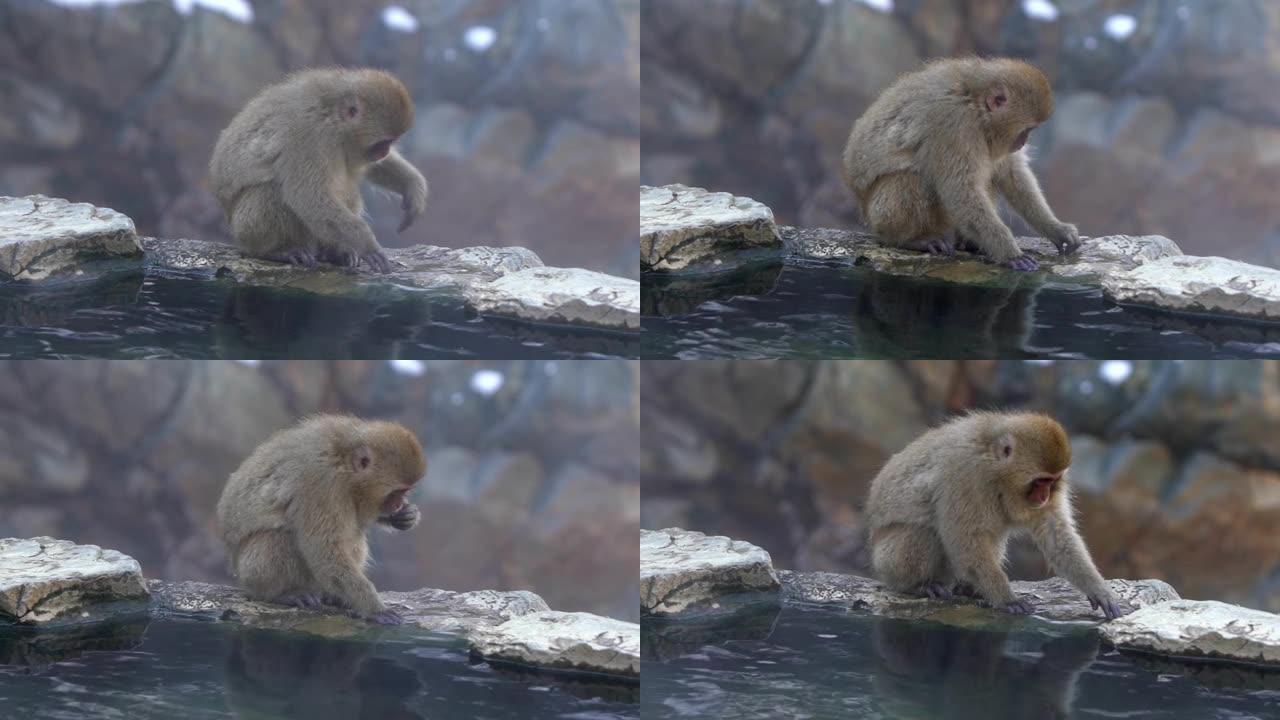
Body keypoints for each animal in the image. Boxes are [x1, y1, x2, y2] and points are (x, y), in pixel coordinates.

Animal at [209, 67, 430, 271]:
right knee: (271, 190)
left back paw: (333, 252)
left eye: (390, 143)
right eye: (381, 143)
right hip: (245, 231)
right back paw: (274, 250)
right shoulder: (308, 135)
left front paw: (412, 187)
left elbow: (372, 168)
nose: (384, 152)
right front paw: (367, 245)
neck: (333, 117)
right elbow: (309, 197)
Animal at [215, 415, 424, 622]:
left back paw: (332, 596)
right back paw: (280, 593)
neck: (343, 463)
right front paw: (373, 608)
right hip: (250, 575)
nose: (398, 504)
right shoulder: (321, 483)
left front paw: (405, 516)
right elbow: (324, 550)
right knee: (276, 538)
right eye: (396, 492)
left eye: (405, 491)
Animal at [839, 58, 1080, 271]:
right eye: (1027, 130)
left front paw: (1056, 228)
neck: (974, 102)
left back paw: (968, 243)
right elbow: (960, 190)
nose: (1022, 142)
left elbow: (1012, 174)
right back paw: (908, 239)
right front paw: (1009, 252)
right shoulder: (954, 124)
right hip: (881, 218)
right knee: (909, 179)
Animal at [865, 409, 1126, 617]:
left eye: (1052, 481)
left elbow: (1056, 536)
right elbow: (965, 540)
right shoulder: (963, 474)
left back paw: (967, 588)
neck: (995, 469)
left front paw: (1098, 589)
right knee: (922, 534)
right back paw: (917, 585)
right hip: (886, 562)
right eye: (1040, 481)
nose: (1044, 497)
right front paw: (1006, 599)